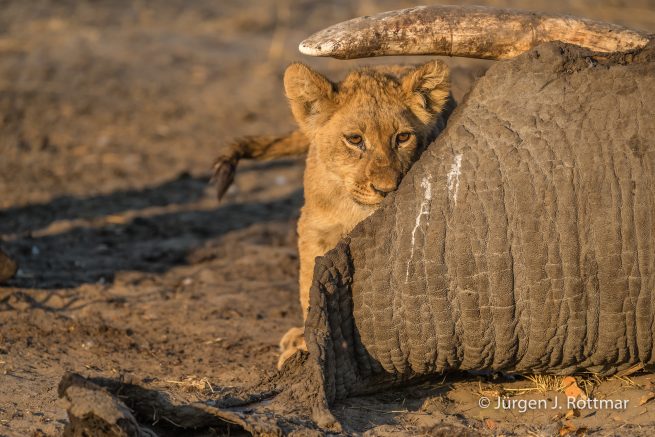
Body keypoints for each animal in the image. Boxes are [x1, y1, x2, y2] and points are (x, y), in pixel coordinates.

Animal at [212, 61, 453, 368]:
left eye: (402, 137)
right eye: (354, 139)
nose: (386, 189)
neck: (355, 209)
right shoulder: (315, 228)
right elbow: (309, 286)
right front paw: (306, 345)